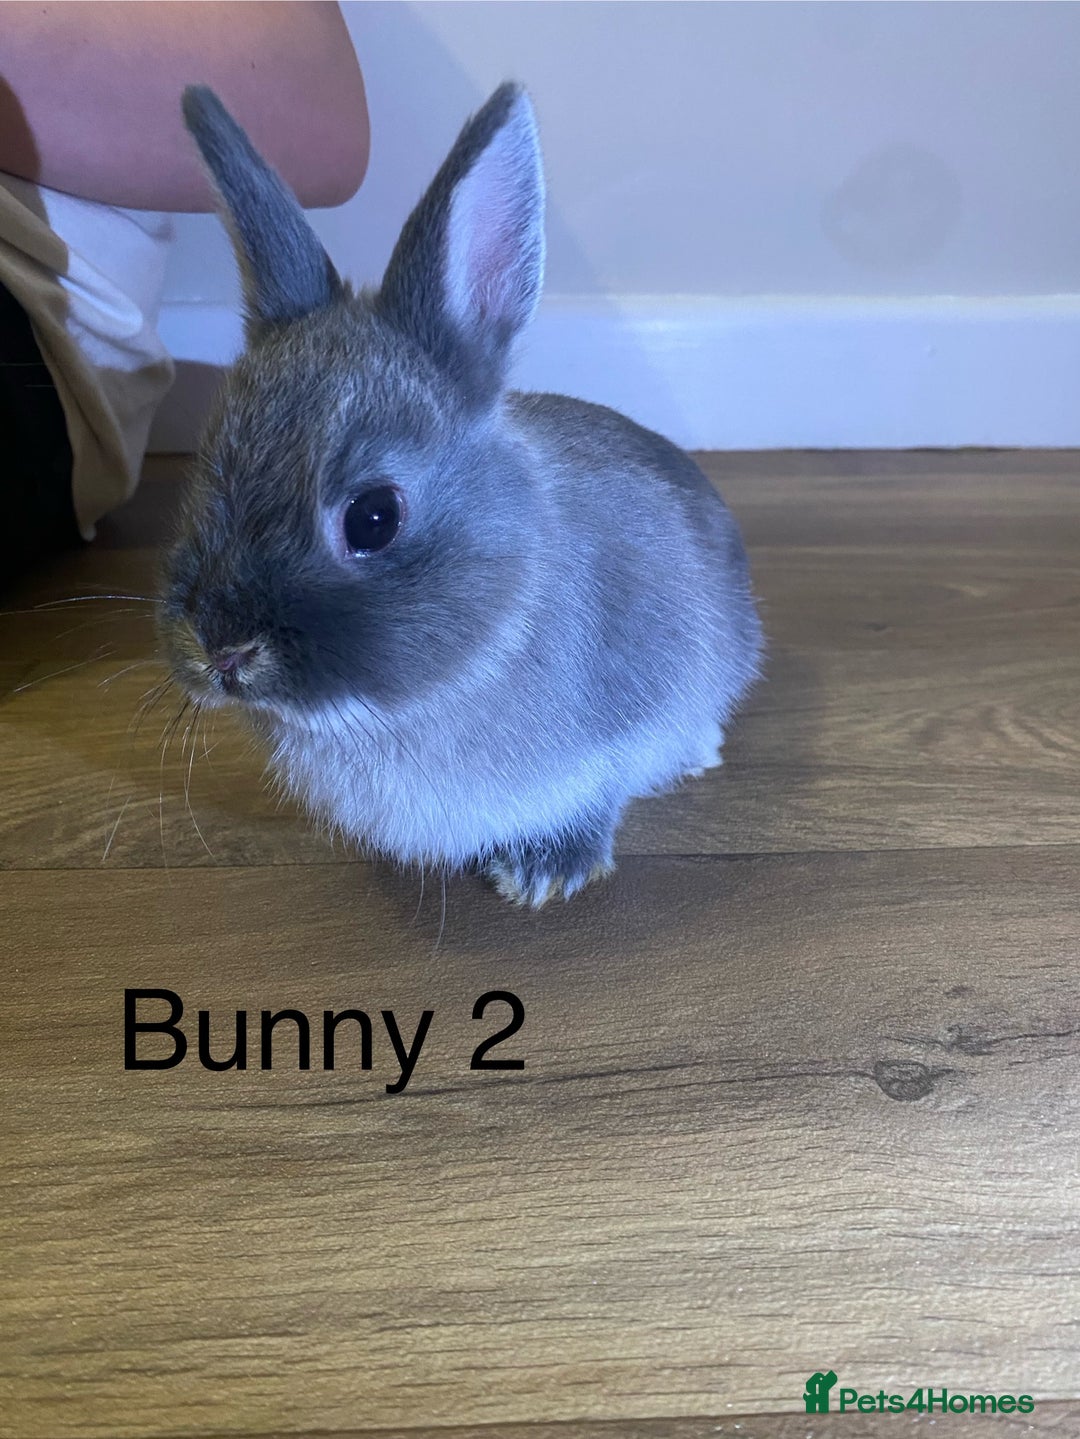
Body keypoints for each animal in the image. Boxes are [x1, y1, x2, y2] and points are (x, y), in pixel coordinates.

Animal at [160, 81, 763, 906]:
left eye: (374, 517)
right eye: (205, 472)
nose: (223, 651)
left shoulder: (625, 716)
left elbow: (602, 784)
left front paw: (543, 874)